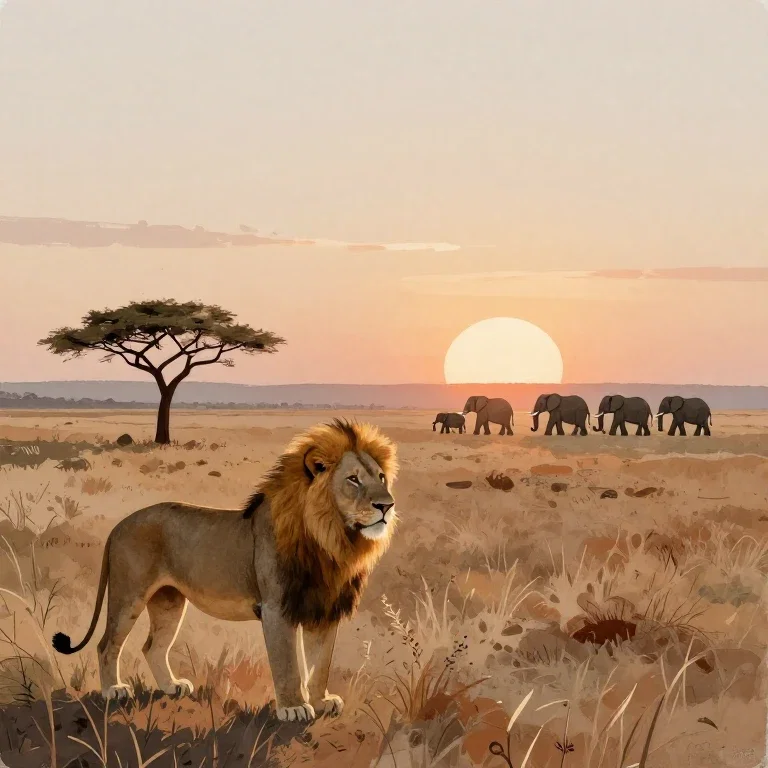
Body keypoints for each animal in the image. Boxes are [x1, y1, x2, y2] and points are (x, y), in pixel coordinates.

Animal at [52, 418, 398, 723]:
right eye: (353, 479)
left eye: (381, 477)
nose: (387, 505)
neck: (332, 541)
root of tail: (119, 525)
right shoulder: (276, 609)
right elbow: (288, 663)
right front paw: (294, 708)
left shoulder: (322, 608)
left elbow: (320, 663)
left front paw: (321, 701)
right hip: (129, 595)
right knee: (107, 644)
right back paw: (114, 690)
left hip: (169, 601)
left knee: (152, 647)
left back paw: (171, 686)